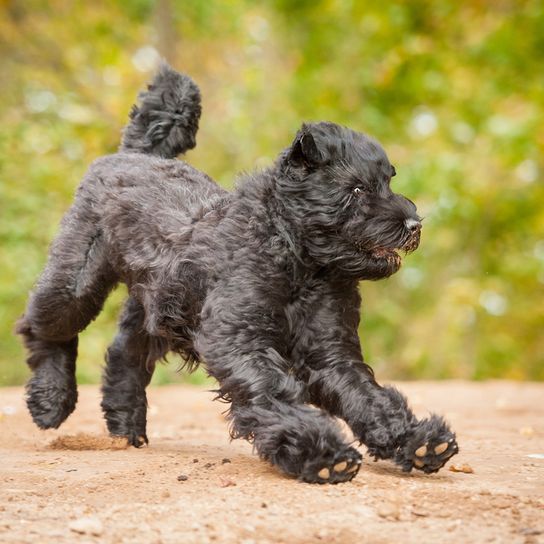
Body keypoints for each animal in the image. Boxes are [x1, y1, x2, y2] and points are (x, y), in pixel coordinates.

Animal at [18, 65, 460, 484]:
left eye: (388, 180)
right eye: (356, 189)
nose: (414, 223)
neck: (299, 261)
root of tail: (133, 153)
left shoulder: (329, 353)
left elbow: (368, 396)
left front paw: (416, 440)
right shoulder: (239, 341)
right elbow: (273, 394)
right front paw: (320, 454)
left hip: (156, 308)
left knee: (123, 353)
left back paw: (127, 427)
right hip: (76, 283)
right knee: (41, 329)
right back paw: (50, 402)